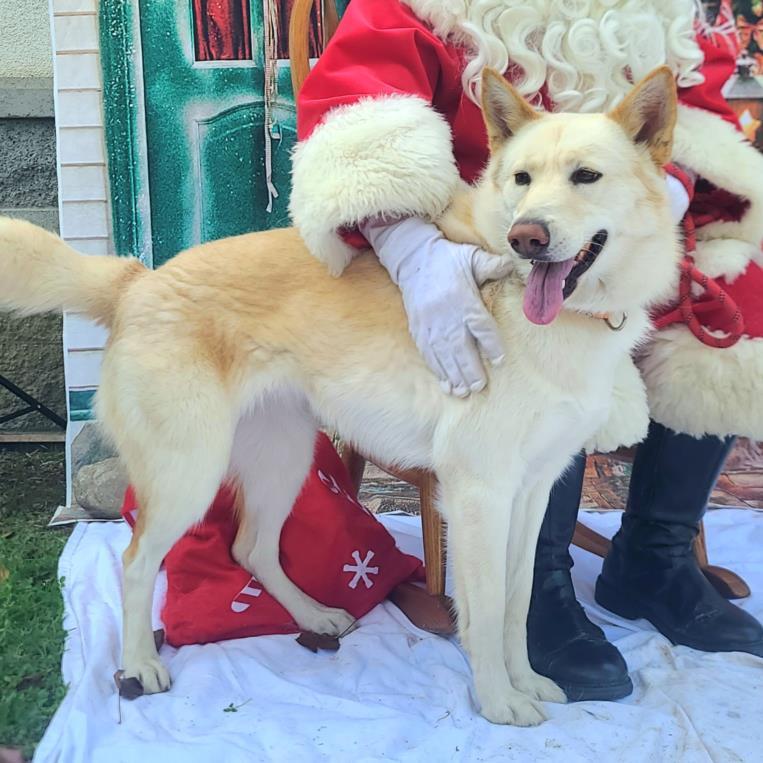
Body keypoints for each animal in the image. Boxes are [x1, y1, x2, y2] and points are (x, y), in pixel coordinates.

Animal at [0, 67, 680, 728]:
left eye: (586, 176)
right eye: (522, 178)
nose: (525, 239)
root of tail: (136, 281)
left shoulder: (532, 490)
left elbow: (517, 604)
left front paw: (529, 681)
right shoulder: (478, 494)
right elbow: (485, 613)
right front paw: (498, 702)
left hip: (283, 458)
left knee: (249, 547)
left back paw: (312, 617)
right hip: (190, 475)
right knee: (137, 561)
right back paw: (141, 664)